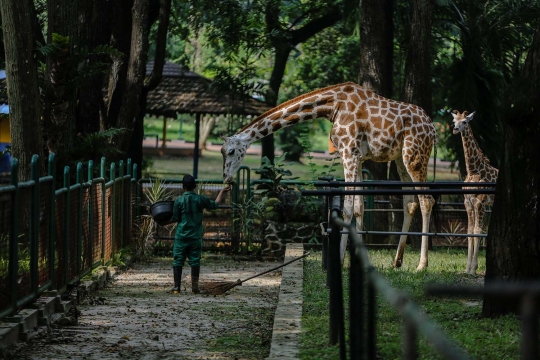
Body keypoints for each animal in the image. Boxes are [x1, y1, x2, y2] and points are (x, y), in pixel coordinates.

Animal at [221, 83, 436, 270]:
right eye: (222, 152)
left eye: (230, 151)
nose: (226, 178)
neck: (333, 106)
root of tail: (432, 129)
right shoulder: (358, 157)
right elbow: (358, 207)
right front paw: (358, 260)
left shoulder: (348, 152)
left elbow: (347, 208)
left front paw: (339, 260)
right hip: (401, 158)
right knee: (410, 202)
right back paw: (397, 261)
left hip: (415, 157)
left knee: (427, 200)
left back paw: (422, 264)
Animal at [452, 109, 498, 272]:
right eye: (454, 121)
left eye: (465, 121)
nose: (455, 129)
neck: (473, 171)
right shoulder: (468, 203)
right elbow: (470, 231)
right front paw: (468, 268)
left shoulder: (480, 202)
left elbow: (478, 231)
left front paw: (473, 269)